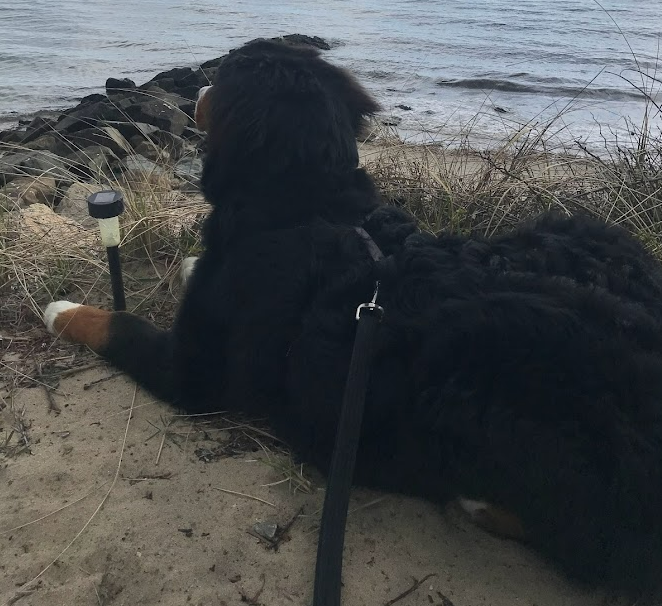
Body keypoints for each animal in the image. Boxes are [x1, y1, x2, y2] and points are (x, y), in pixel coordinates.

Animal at [44, 38, 662, 592]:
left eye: (223, 72)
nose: (196, 86)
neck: (302, 205)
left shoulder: (195, 372)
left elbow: (116, 324)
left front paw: (61, 309)